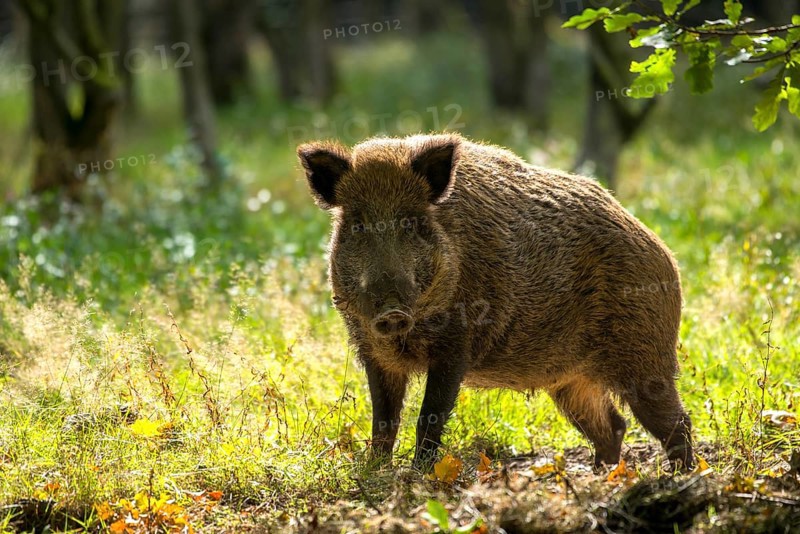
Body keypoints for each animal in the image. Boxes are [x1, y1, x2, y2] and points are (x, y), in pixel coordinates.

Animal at [298, 133, 694, 470]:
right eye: (358, 225)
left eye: (411, 223)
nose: (391, 311)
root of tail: (665, 254)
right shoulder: (373, 350)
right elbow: (383, 419)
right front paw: (374, 472)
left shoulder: (457, 346)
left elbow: (429, 417)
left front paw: (418, 475)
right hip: (570, 380)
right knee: (613, 425)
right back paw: (603, 477)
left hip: (645, 354)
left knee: (676, 421)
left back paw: (680, 476)